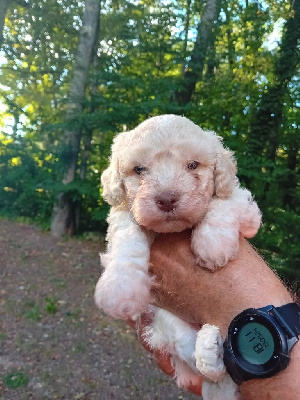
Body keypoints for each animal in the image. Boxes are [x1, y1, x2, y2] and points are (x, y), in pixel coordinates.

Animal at [95, 114, 262, 398]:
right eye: (139, 170)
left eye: (193, 165)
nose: (166, 199)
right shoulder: (123, 210)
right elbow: (127, 235)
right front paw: (121, 287)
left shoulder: (247, 210)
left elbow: (222, 202)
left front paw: (212, 243)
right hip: (169, 325)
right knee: (206, 368)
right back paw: (210, 349)